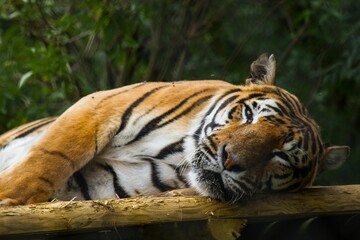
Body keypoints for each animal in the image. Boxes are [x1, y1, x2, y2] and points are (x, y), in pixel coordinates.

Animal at [0, 54, 350, 206]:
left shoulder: (103, 184)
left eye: (280, 157)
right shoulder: (98, 107)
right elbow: (48, 160)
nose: (229, 160)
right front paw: (8, 198)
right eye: (250, 115)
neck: (173, 155)